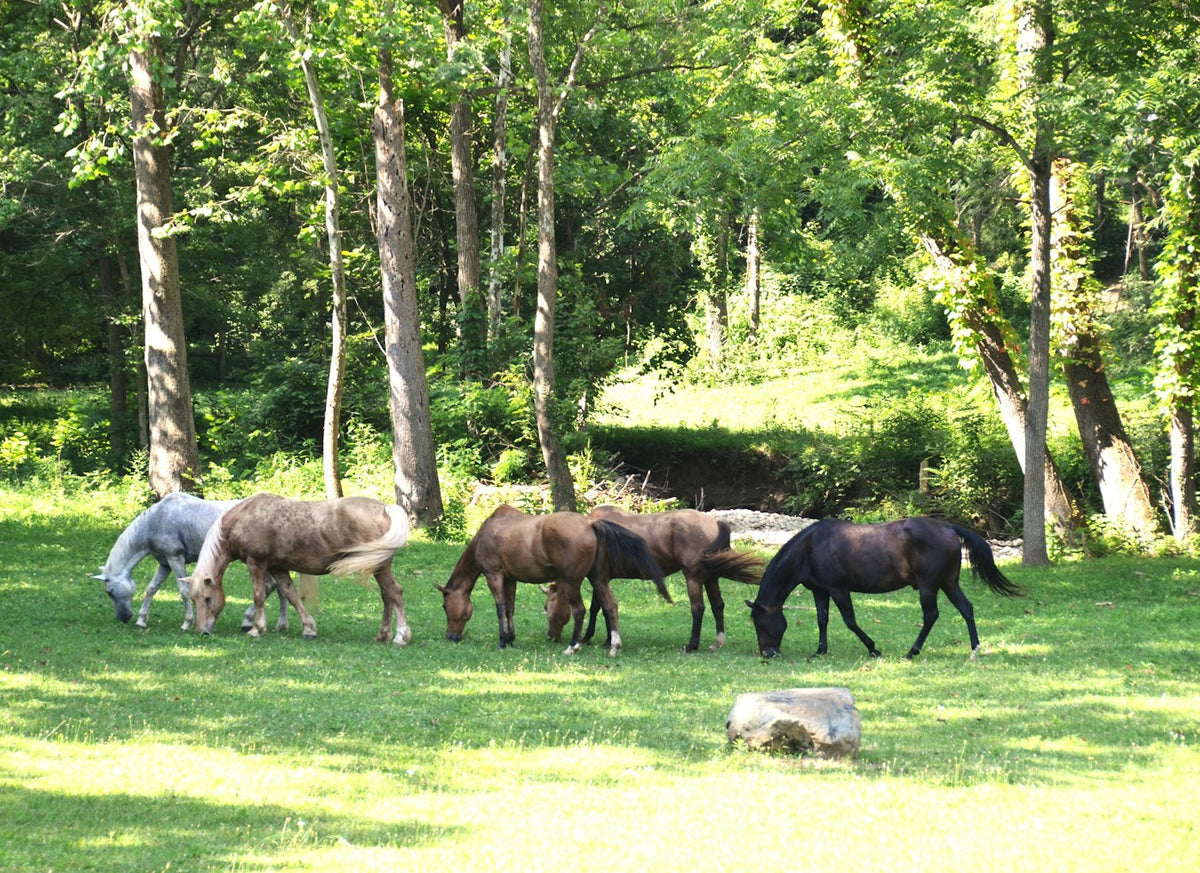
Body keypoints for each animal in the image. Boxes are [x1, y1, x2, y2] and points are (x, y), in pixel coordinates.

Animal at [93, 492, 289, 631]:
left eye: (109, 592)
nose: (123, 617)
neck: (156, 521)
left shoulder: (175, 559)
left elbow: (184, 591)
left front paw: (187, 623)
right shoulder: (165, 564)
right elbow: (151, 588)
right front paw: (142, 620)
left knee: (270, 586)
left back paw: (250, 621)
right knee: (280, 588)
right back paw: (280, 624)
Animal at [186, 492, 411, 645]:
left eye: (207, 598)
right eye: (194, 600)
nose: (202, 632)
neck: (244, 518)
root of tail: (385, 508)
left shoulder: (256, 563)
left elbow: (258, 596)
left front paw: (257, 629)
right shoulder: (278, 568)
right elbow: (292, 596)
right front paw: (309, 629)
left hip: (380, 567)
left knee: (394, 593)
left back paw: (401, 636)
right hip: (378, 568)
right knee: (386, 596)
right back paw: (382, 635)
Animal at [438, 504, 670, 656]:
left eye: (445, 606)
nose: (450, 637)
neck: (486, 534)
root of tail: (590, 524)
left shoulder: (494, 576)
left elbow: (500, 608)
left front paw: (502, 641)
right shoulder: (510, 579)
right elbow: (510, 608)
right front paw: (511, 638)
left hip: (573, 582)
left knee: (580, 610)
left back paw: (573, 645)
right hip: (598, 580)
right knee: (610, 605)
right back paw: (614, 645)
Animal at [544, 505, 764, 652]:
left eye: (546, 606)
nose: (550, 636)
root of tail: (716, 523)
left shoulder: (598, 578)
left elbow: (597, 608)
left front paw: (590, 638)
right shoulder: (603, 579)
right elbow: (603, 608)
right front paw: (607, 639)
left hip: (693, 577)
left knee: (698, 609)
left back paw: (691, 645)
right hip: (711, 578)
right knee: (718, 606)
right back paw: (717, 642)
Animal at [746, 516, 1022, 659]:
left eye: (760, 623)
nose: (767, 654)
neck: (811, 547)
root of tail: (949, 527)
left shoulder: (838, 589)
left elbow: (850, 621)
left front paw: (873, 648)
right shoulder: (820, 591)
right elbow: (822, 620)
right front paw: (820, 650)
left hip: (929, 586)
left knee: (931, 615)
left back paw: (912, 651)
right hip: (948, 583)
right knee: (966, 609)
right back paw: (974, 648)